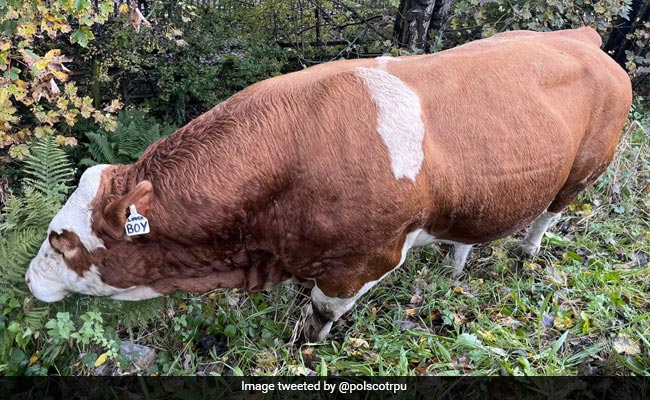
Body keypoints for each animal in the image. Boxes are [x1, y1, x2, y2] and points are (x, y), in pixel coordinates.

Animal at [25, 27, 632, 342]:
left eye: (63, 239)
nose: (30, 279)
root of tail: (581, 36)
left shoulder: (365, 260)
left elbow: (319, 314)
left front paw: (304, 349)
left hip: (583, 172)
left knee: (548, 214)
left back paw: (527, 252)